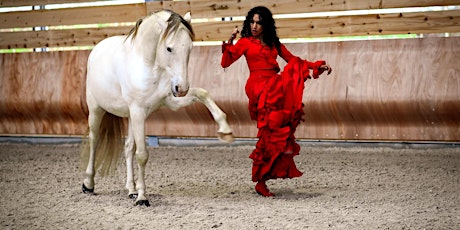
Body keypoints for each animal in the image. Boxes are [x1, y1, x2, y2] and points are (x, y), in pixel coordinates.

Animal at [81, 9, 234, 207]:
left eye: (189, 48)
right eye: (169, 48)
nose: (181, 88)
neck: (148, 67)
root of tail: (97, 49)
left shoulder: (170, 101)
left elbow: (202, 93)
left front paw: (225, 130)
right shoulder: (139, 112)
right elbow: (142, 155)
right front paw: (142, 198)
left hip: (130, 117)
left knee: (128, 147)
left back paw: (130, 189)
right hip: (97, 110)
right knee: (95, 140)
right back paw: (88, 184)